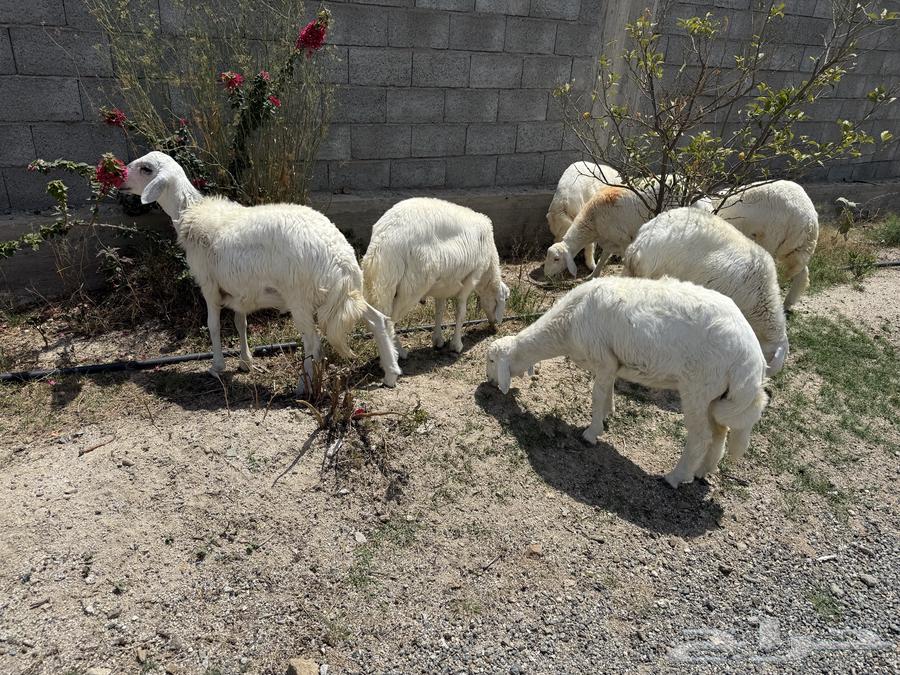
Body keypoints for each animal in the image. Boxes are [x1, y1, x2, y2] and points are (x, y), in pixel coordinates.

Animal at [119, 151, 401, 391]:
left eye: (146, 169)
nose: (119, 177)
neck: (190, 213)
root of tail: (341, 258)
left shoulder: (209, 285)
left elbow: (213, 325)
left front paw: (217, 366)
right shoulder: (239, 289)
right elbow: (240, 323)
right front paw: (245, 361)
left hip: (300, 297)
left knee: (313, 341)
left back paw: (303, 386)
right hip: (343, 297)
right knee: (378, 319)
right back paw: (390, 372)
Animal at [361, 198, 510, 367]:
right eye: (506, 300)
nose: (495, 326)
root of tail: (383, 244)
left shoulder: (443, 285)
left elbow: (439, 310)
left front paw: (438, 340)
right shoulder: (473, 276)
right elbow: (461, 311)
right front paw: (456, 345)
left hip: (382, 285)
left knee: (378, 320)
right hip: (410, 288)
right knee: (388, 322)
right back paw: (398, 354)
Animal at [485, 276, 769, 487]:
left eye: (490, 360)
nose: (486, 384)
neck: (566, 325)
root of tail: (751, 359)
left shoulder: (602, 358)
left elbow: (596, 395)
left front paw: (591, 433)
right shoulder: (612, 363)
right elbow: (607, 390)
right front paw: (607, 414)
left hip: (699, 387)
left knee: (700, 437)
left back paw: (675, 477)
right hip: (717, 394)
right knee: (720, 433)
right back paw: (702, 472)